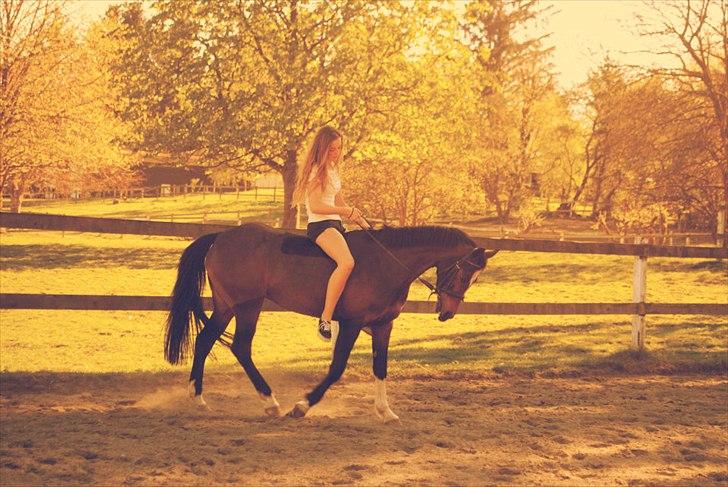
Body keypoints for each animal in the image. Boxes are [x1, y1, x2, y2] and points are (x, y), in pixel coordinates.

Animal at [164, 222, 498, 422]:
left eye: (475, 278)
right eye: (463, 274)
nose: (447, 312)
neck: (386, 263)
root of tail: (221, 236)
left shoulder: (383, 325)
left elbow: (381, 367)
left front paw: (385, 411)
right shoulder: (352, 323)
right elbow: (337, 368)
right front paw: (302, 405)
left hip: (226, 305)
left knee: (205, 341)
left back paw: (199, 399)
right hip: (247, 305)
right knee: (241, 347)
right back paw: (270, 402)